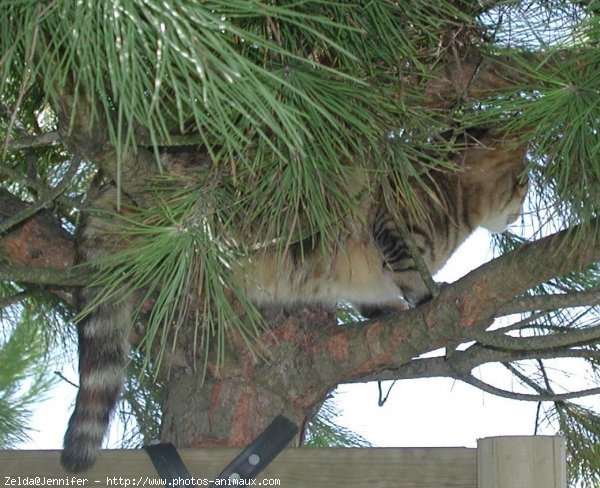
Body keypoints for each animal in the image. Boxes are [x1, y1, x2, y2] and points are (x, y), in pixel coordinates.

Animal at [61, 127, 528, 470]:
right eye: (523, 181)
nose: (522, 211)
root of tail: (100, 184)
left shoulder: (361, 278)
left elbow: (375, 297)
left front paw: (388, 312)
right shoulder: (392, 225)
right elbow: (411, 274)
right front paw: (429, 297)